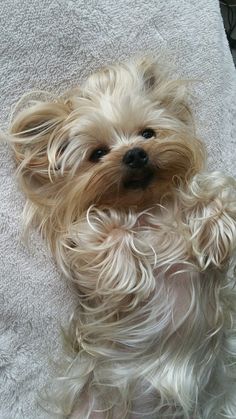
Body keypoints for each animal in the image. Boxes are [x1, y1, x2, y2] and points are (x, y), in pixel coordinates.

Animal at [8, 57, 236, 418]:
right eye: (98, 153)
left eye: (148, 133)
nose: (136, 153)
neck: (147, 209)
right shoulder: (78, 235)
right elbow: (99, 229)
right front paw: (129, 275)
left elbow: (216, 188)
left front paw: (212, 235)